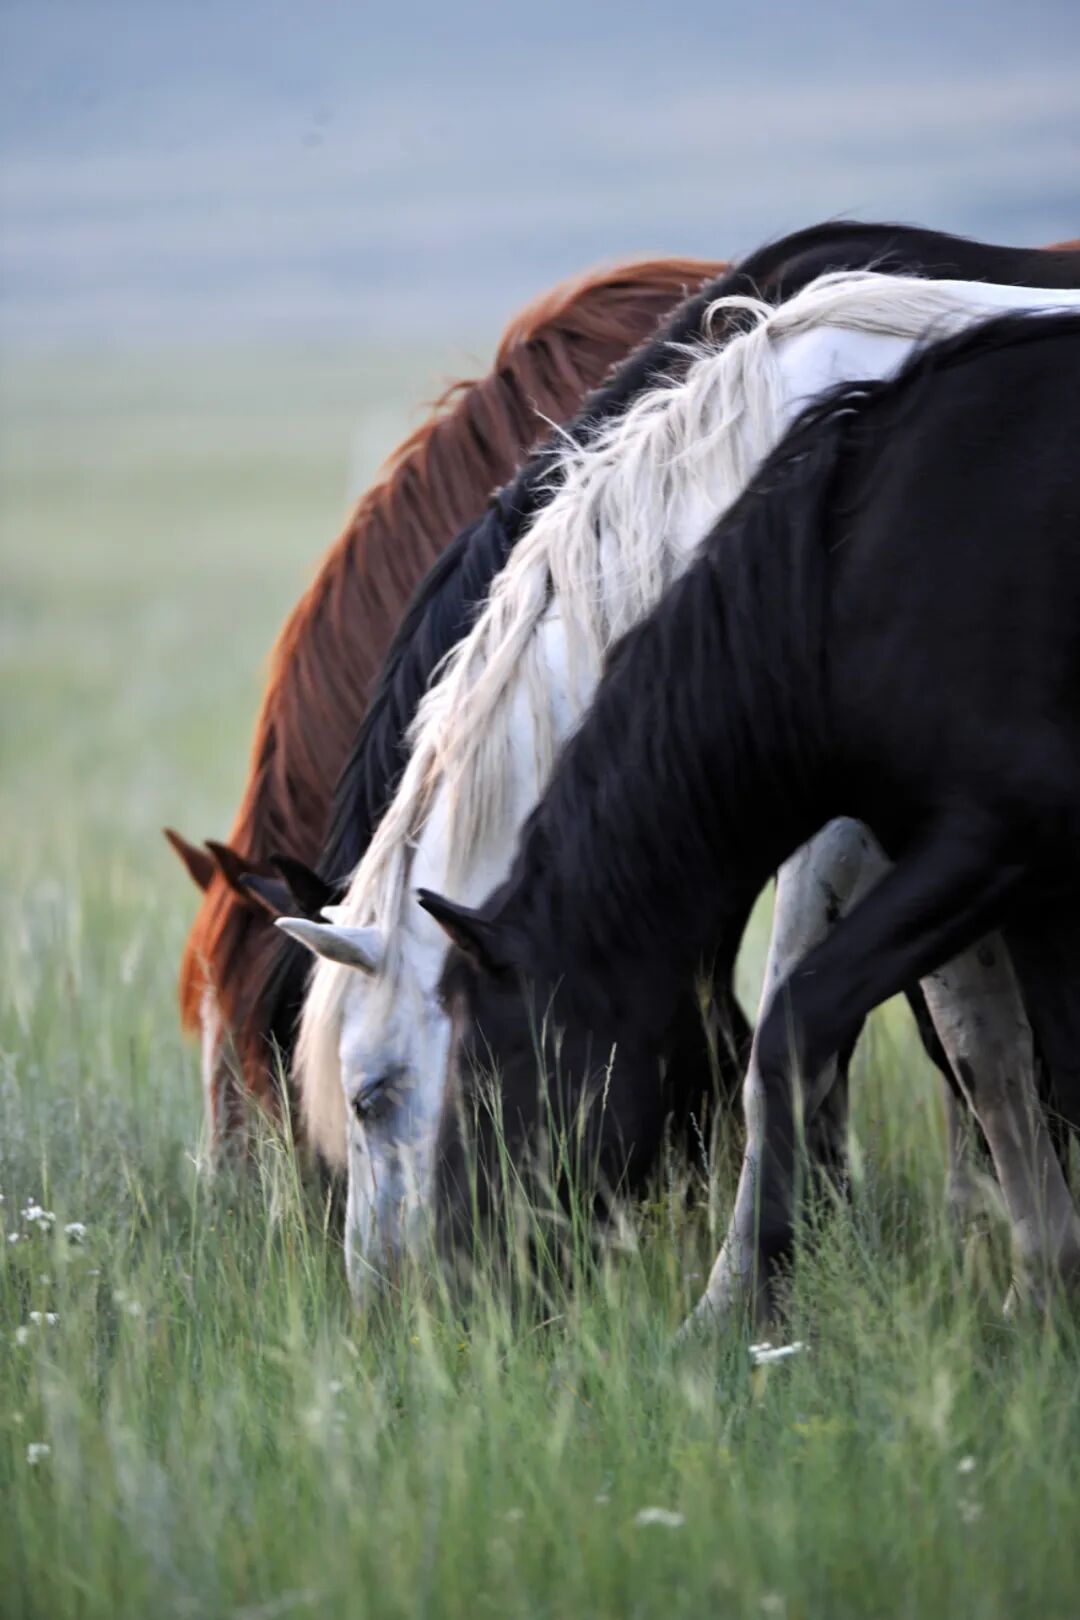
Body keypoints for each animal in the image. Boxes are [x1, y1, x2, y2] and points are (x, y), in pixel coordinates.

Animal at [278, 256, 1080, 1301]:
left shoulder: (880, 834)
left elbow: (853, 1035)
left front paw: (738, 1289)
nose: (387, 1304)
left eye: (371, 1095)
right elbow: (989, 1048)